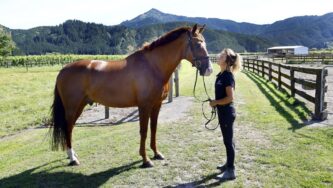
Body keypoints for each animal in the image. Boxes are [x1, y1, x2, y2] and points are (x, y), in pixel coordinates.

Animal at [50, 23, 213, 167]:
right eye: (198, 44)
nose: (209, 70)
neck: (152, 66)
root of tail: (63, 69)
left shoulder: (156, 105)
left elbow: (153, 129)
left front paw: (156, 153)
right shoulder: (144, 106)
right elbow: (144, 131)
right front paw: (146, 160)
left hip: (80, 105)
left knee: (69, 127)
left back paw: (72, 155)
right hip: (72, 107)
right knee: (68, 127)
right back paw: (73, 159)